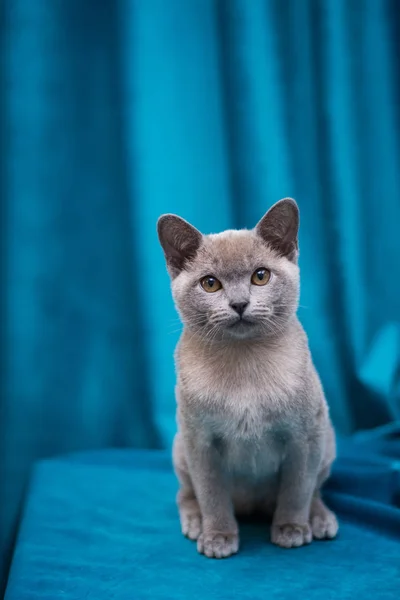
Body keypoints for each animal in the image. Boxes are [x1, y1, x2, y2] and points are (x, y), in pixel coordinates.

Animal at [156, 198, 338, 556]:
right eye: (210, 283)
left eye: (260, 276)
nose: (239, 303)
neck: (245, 367)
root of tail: (254, 507)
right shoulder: (200, 442)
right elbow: (212, 496)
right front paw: (218, 538)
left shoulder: (304, 438)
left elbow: (297, 490)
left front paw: (291, 529)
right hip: (179, 448)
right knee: (186, 494)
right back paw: (195, 524)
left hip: (327, 439)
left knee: (314, 490)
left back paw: (319, 520)